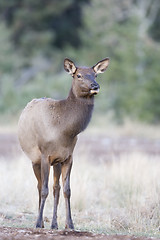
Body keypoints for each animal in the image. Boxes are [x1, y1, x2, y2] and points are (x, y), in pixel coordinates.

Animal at [18, 57, 109, 229]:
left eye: (95, 75)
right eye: (79, 75)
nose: (95, 86)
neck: (64, 131)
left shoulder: (68, 157)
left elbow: (66, 190)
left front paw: (70, 224)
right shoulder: (45, 155)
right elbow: (44, 189)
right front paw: (38, 223)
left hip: (57, 162)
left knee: (56, 188)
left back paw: (54, 224)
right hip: (34, 159)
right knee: (39, 186)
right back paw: (40, 222)